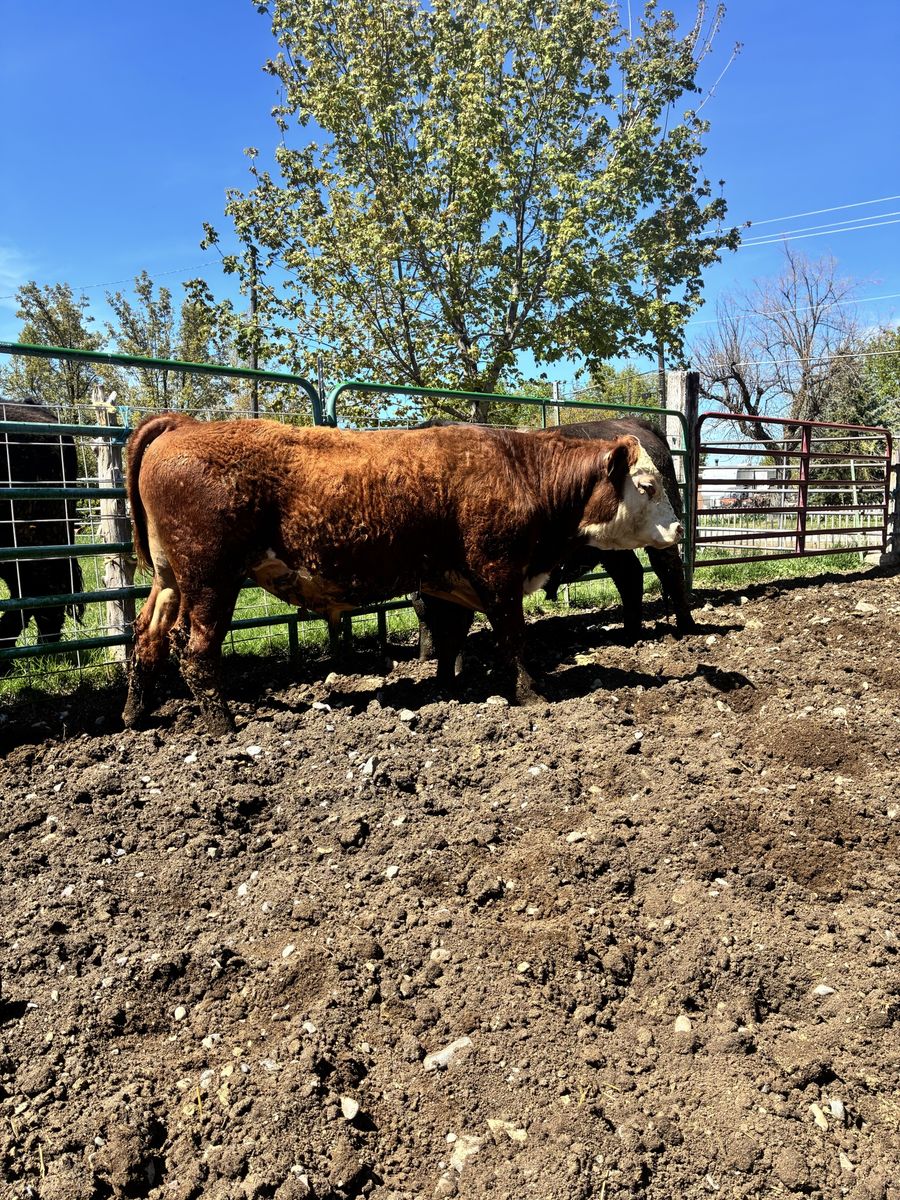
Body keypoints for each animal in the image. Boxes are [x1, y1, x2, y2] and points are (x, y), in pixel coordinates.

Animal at [122, 414, 683, 733]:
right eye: (647, 485)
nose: (678, 526)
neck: (522, 470)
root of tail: (183, 425)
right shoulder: (498, 574)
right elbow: (511, 637)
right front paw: (530, 694)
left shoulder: (451, 586)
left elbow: (451, 638)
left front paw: (449, 689)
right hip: (210, 580)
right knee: (196, 650)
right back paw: (222, 724)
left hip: (170, 579)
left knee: (146, 638)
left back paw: (135, 714)